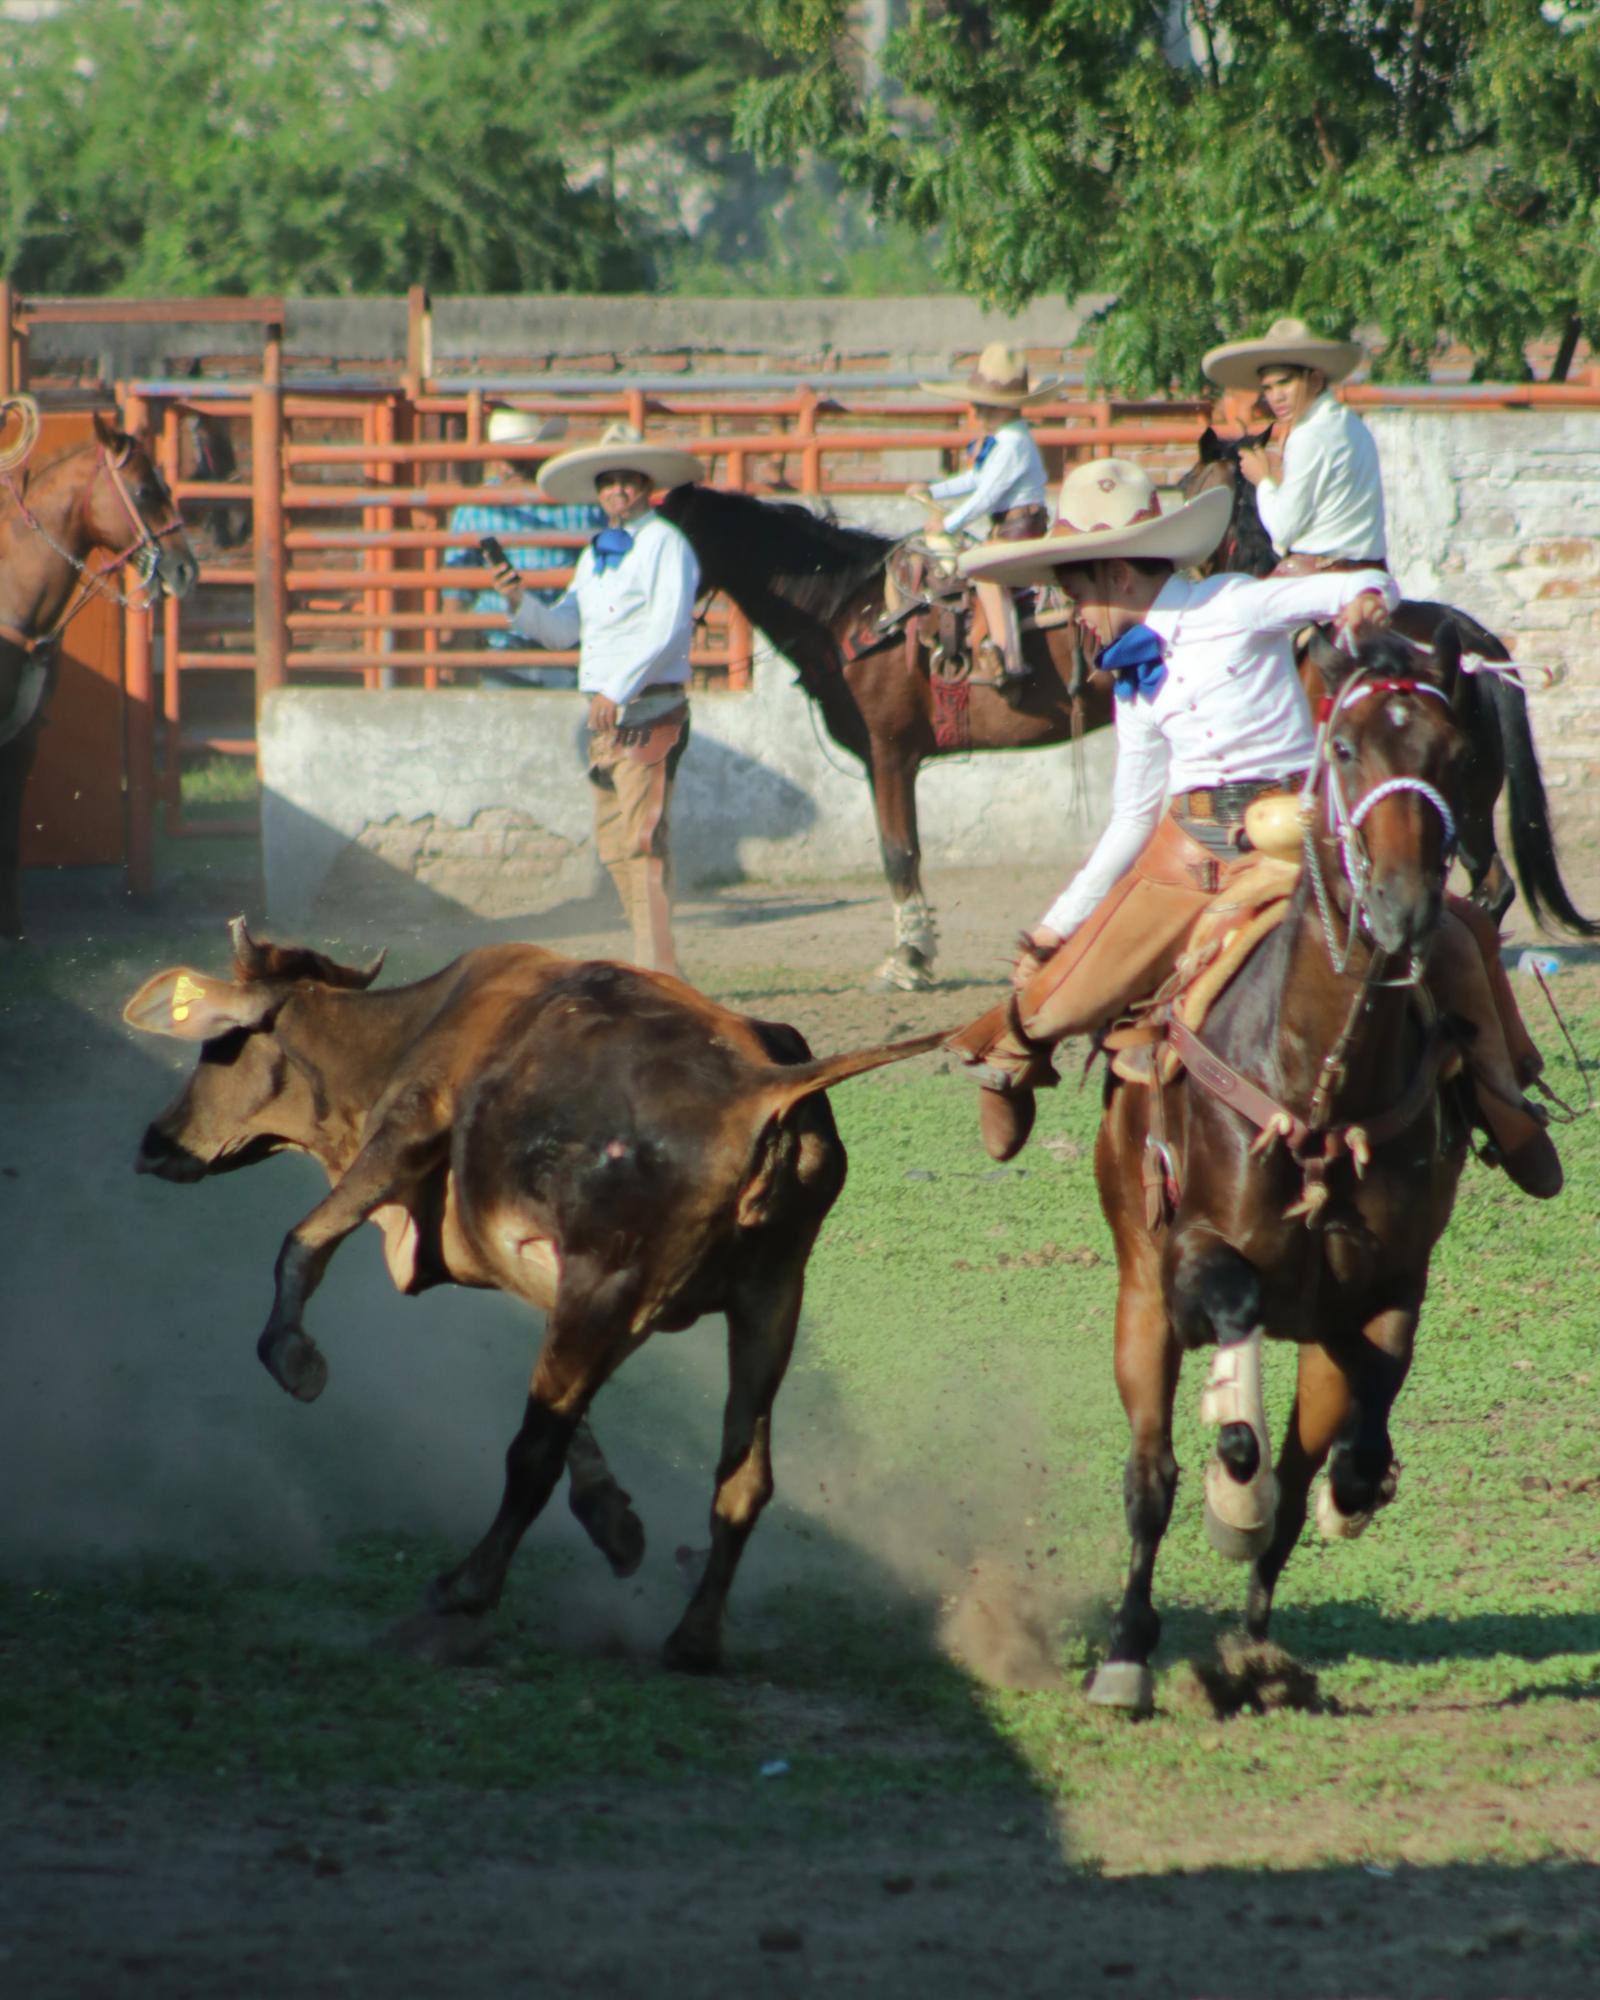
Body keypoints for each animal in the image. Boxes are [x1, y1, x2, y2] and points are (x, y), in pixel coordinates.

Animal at [1088, 628, 1472, 1720]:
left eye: (1454, 751)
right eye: (1341, 747)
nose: (1403, 907)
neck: (1318, 1081)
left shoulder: (1391, 1285)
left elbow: (1352, 1447)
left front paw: (1350, 1492)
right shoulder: (1190, 1260)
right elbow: (1235, 1382)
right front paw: (1233, 1492)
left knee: (1301, 1478)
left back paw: (1257, 1655)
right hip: (1137, 1294)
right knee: (1150, 1474)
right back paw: (1127, 1651)